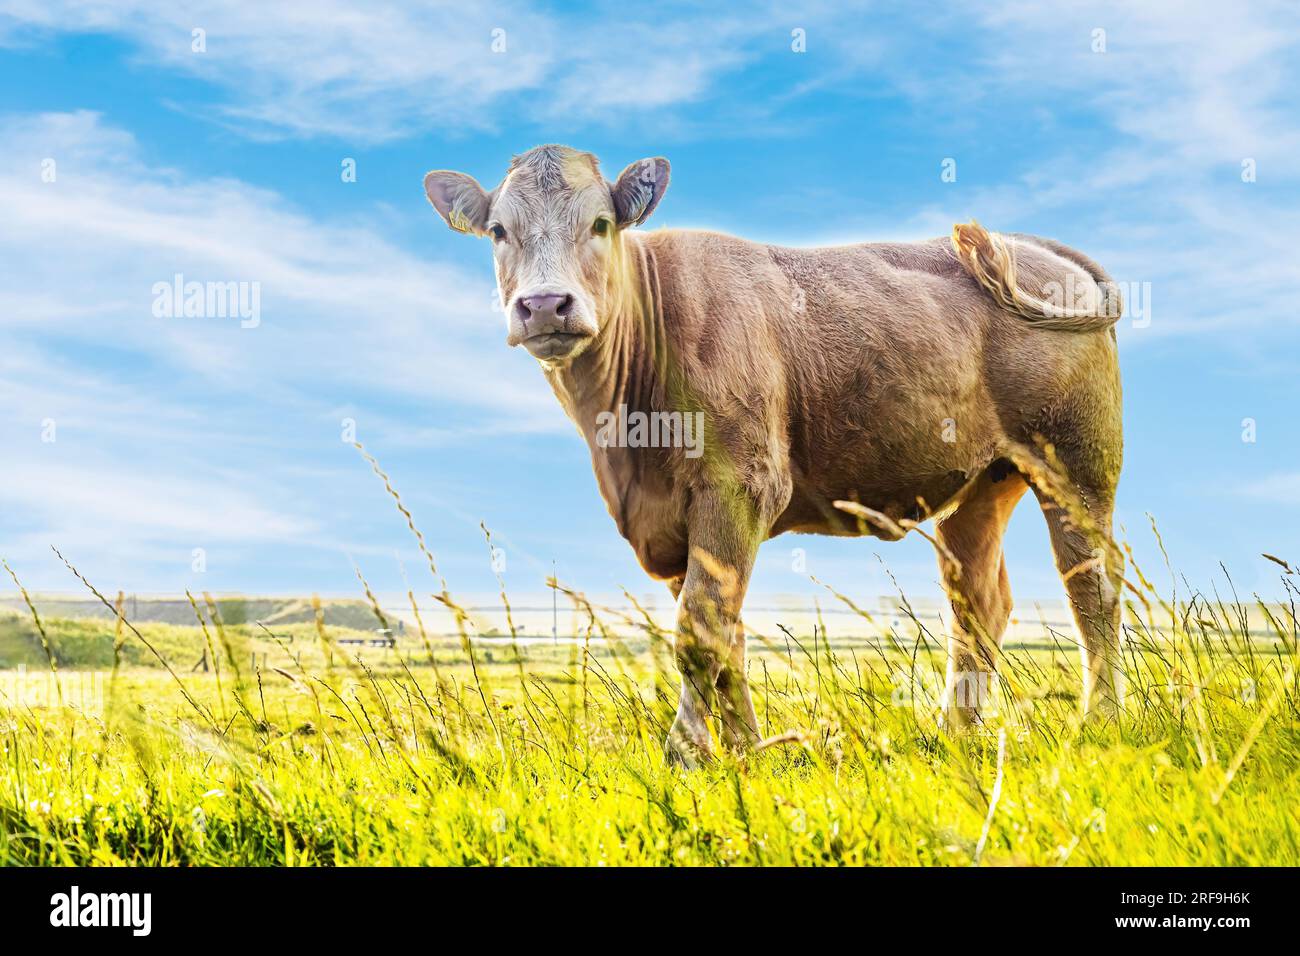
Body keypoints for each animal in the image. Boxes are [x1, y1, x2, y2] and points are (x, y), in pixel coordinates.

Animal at [421, 145, 1123, 764]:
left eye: (599, 223)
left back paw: (1098, 723)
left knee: (1093, 587)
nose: (544, 304)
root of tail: (1034, 246)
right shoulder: (677, 519)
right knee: (977, 603)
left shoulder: (738, 487)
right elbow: (723, 634)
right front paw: (745, 750)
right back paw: (957, 733)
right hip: (983, 484)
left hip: (1077, 465)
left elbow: (699, 630)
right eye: (498, 231)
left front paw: (686, 754)